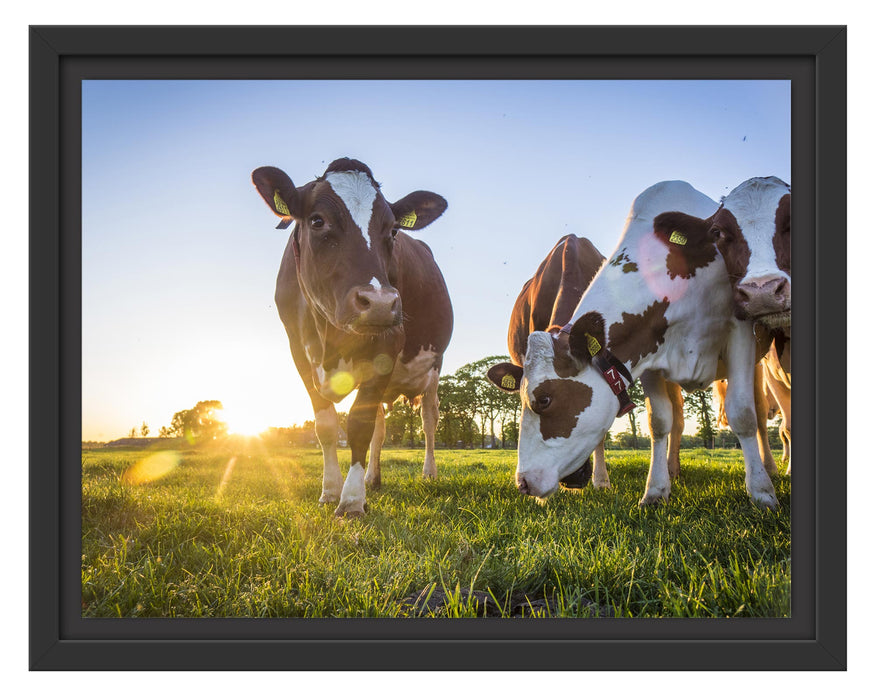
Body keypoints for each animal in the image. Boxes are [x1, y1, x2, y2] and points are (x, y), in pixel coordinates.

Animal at [251, 158, 453, 517]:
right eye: (317, 220)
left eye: (394, 230)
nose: (380, 303)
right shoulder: (299, 353)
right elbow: (327, 426)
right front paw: (330, 491)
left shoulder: (388, 345)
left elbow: (359, 425)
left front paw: (351, 501)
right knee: (382, 427)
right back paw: (373, 477)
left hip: (434, 366)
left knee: (429, 419)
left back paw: (428, 473)